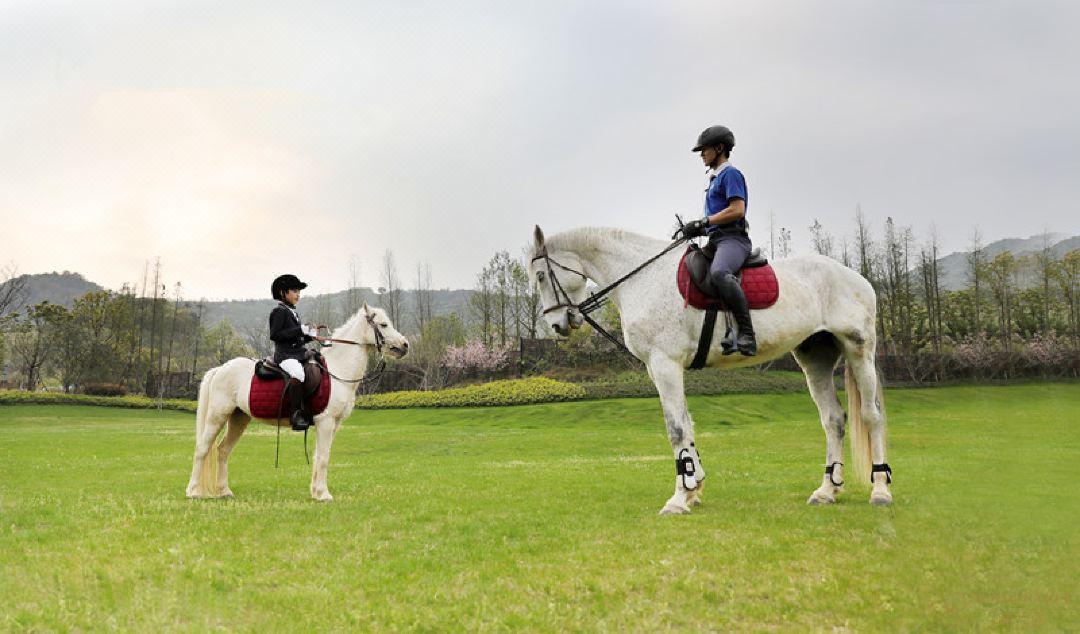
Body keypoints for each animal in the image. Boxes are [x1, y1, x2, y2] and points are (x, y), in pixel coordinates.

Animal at [185, 304, 408, 503]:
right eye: (384, 324)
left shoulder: (333, 424)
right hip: (217, 416)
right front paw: (324, 495)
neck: (337, 371)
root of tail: (220, 369)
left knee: (223, 450)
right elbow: (323, 457)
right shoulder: (326, 422)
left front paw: (316, 492)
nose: (405, 345)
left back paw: (224, 491)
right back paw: (193, 491)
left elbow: (320, 456)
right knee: (202, 449)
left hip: (239, 418)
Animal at [531, 225, 894, 514]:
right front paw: (693, 487)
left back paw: (880, 489)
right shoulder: (659, 369)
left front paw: (679, 498)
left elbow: (676, 429)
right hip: (815, 357)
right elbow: (686, 425)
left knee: (871, 415)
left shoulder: (665, 364)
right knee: (833, 420)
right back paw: (827, 490)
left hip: (859, 351)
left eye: (539, 275)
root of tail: (857, 278)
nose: (557, 323)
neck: (643, 278)